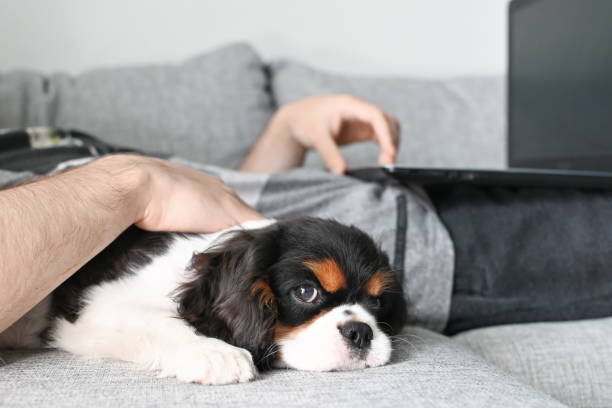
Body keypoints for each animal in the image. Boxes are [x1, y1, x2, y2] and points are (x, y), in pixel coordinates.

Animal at [4, 218, 408, 384]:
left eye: (377, 301)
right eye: (306, 292)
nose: (361, 333)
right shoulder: (99, 306)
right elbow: (163, 321)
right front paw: (215, 353)